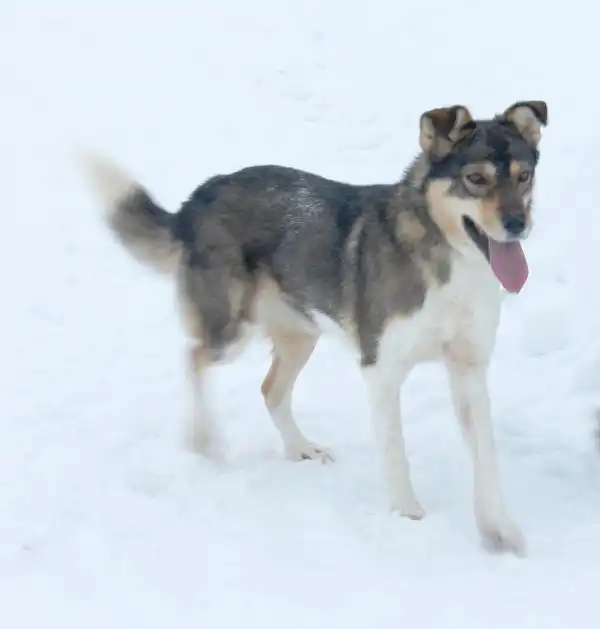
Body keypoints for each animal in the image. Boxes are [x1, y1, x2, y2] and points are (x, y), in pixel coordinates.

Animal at [79, 100, 547, 555]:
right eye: (476, 179)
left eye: (524, 177)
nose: (517, 225)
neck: (447, 256)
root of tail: (197, 199)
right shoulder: (381, 370)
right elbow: (397, 454)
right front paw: (409, 518)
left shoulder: (469, 368)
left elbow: (486, 457)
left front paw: (499, 530)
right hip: (232, 330)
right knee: (193, 355)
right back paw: (203, 439)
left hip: (302, 334)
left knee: (270, 390)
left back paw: (299, 448)